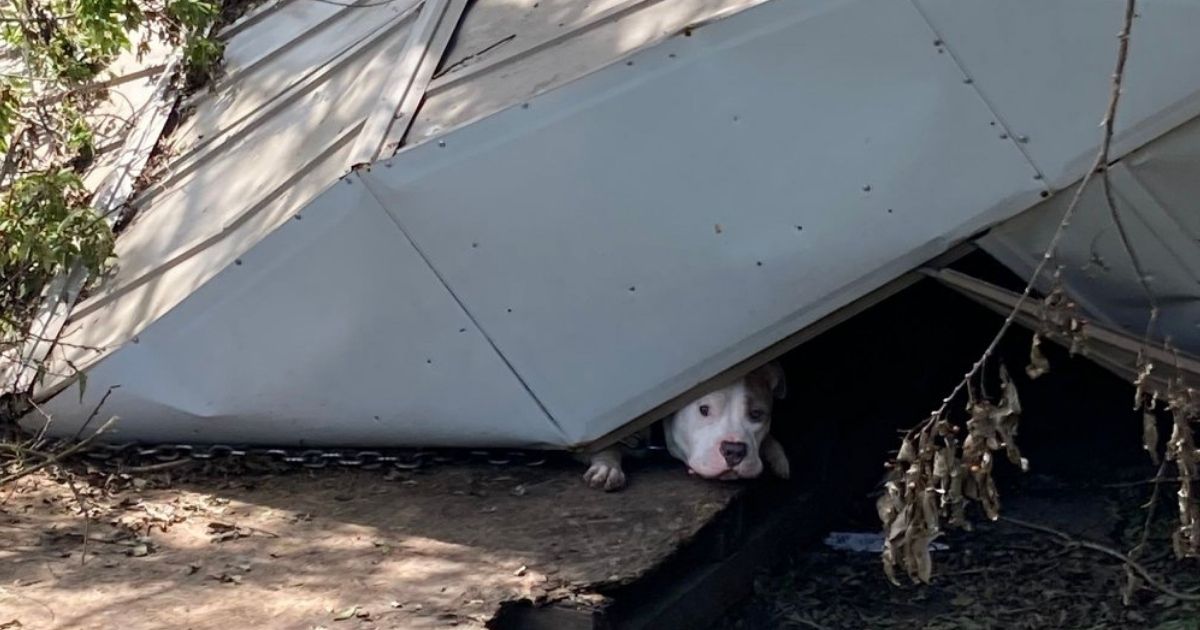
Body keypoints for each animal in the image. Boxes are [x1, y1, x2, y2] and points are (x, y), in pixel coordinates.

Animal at [582, 362, 790, 491]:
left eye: (756, 414)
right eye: (704, 410)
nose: (734, 450)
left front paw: (776, 455)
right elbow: (605, 443)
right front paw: (607, 466)